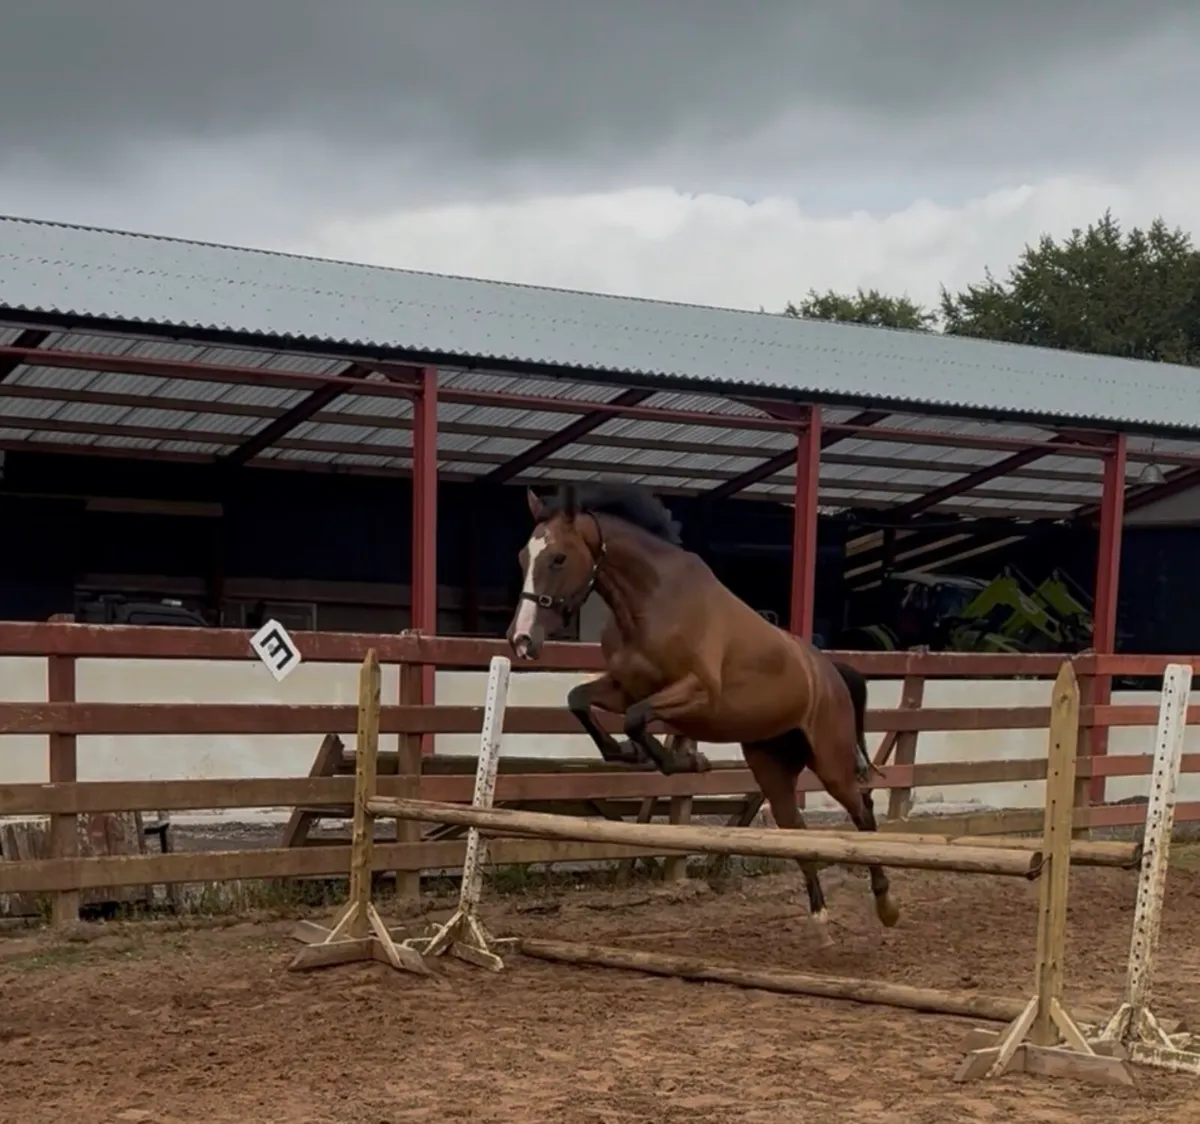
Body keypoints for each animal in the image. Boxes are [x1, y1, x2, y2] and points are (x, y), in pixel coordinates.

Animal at [504, 481, 899, 943]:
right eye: (522, 557)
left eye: (558, 558)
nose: (521, 640)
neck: (649, 601)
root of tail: (832, 672)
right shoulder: (625, 687)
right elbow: (580, 701)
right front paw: (629, 754)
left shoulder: (698, 692)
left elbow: (637, 719)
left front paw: (687, 761)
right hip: (772, 765)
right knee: (797, 831)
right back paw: (819, 919)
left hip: (831, 761)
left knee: (863, 812)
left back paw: (887, 906)